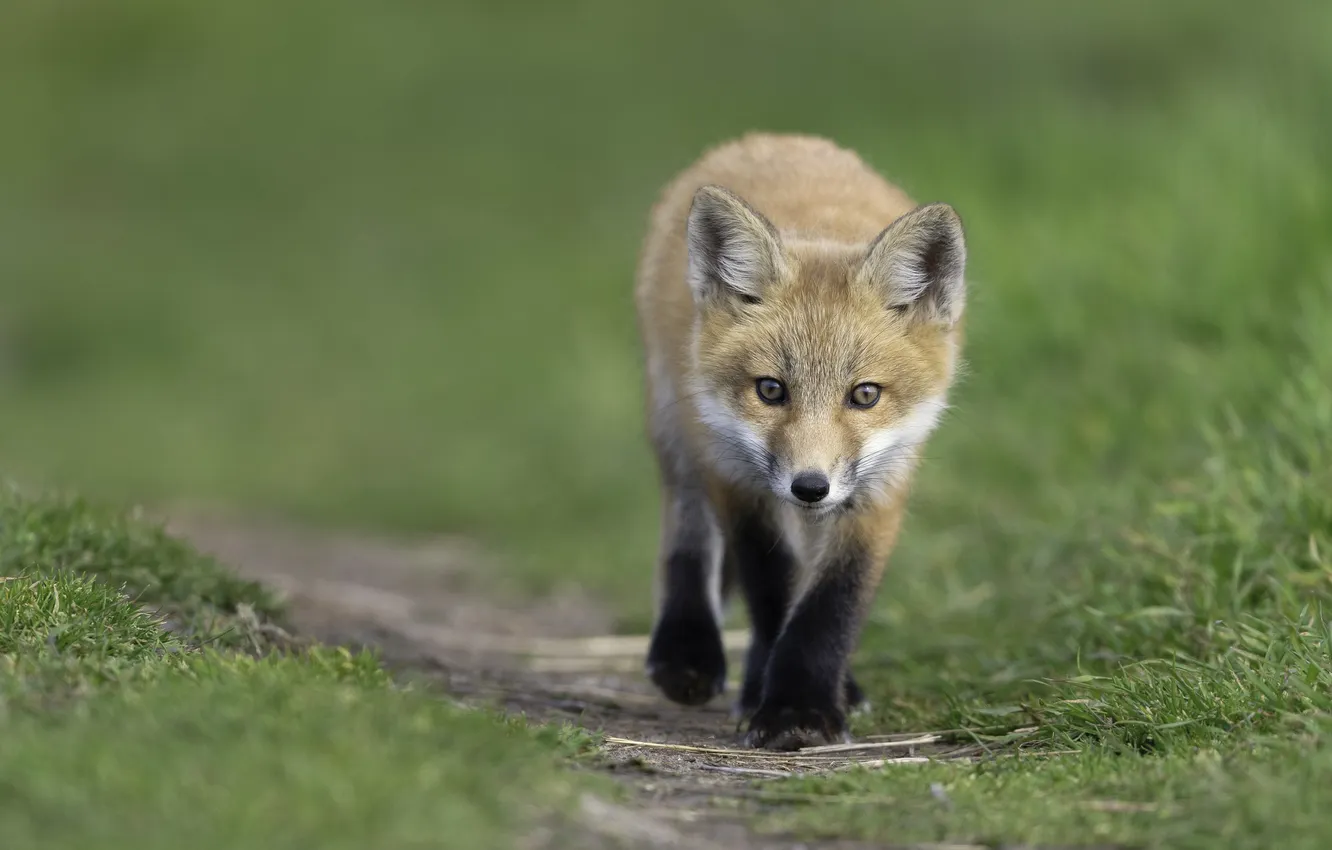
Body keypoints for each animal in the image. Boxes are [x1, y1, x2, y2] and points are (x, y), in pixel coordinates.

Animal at [633, 132, 967, 750]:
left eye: (865, 395)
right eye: (771, 390)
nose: (809, 487)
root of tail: (776, 139)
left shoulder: (883, 484)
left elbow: (832, 602)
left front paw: (802, 707)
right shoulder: (736, 477)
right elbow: (773, 590)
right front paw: (781, 702)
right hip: (677, 424)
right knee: (688, 531)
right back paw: (687, 653)